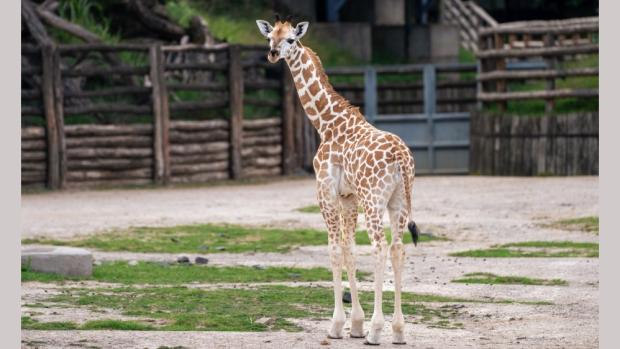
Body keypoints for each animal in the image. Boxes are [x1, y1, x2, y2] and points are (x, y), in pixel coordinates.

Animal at [256, 17, 422, 344]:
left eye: (291, 39)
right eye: (270, 37)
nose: (272, 53)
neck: (326, 123)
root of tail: (401, 158)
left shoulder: (326, 192)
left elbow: (334, 251)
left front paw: (337, 326)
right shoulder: (349, 197)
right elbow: (349, 249)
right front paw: (355, 324)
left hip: (374, 200)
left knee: (379, 247)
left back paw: (377, 331)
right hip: (398, 200)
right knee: (397, 248)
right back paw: (398, 331)